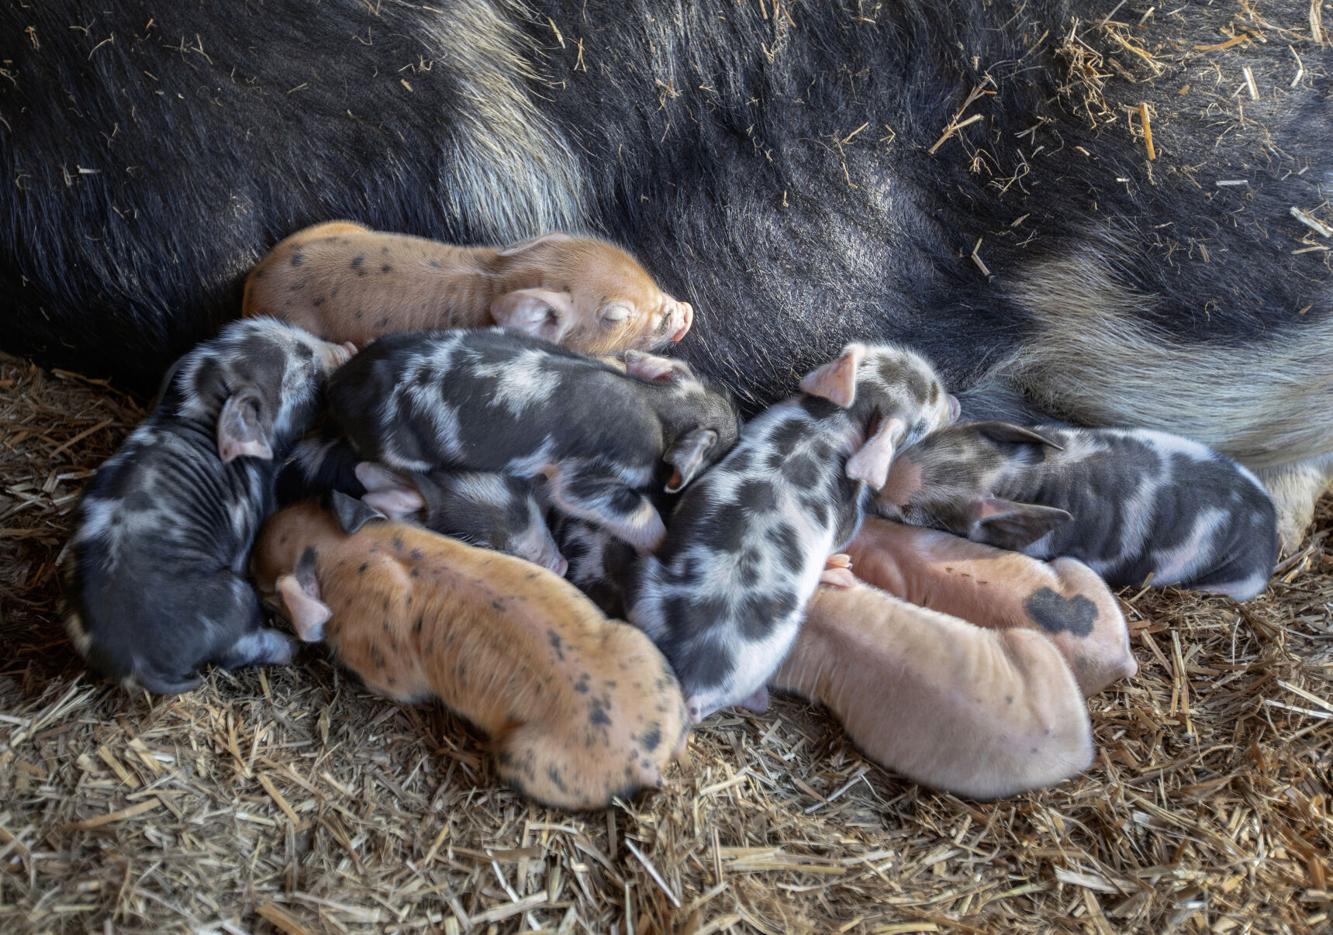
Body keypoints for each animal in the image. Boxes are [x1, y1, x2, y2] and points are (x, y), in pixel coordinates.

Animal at [61, 318, 353, 694]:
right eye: (303, 360)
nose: (347, 347)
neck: (198, 409)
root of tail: (137, 665)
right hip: (235, 596)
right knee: (236, 651)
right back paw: (289, 646)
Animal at [250, 495, 689, 811]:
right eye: (307, 504)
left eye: (268, 592)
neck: (346, 553)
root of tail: (643, 758)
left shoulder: (388, 671)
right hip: (638, 646)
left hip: (527, 757)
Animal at [326, 328, 741, 553]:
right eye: (722, 448)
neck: (661, 408)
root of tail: (340, 385)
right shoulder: (589, 475)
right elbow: (627, 509)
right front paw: (659, 547)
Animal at [629, 342, 958, 723]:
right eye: (926, 414)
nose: (956, 403)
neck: (838, 419)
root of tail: (692, 677)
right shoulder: (849, 520)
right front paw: (843, 568)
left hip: (645, 591)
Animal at [878, 422, 1280, 600]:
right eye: (926, 440)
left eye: (911, 513)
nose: (881, 484)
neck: (1021, 474)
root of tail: (1272, 526)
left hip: (1234, 584)